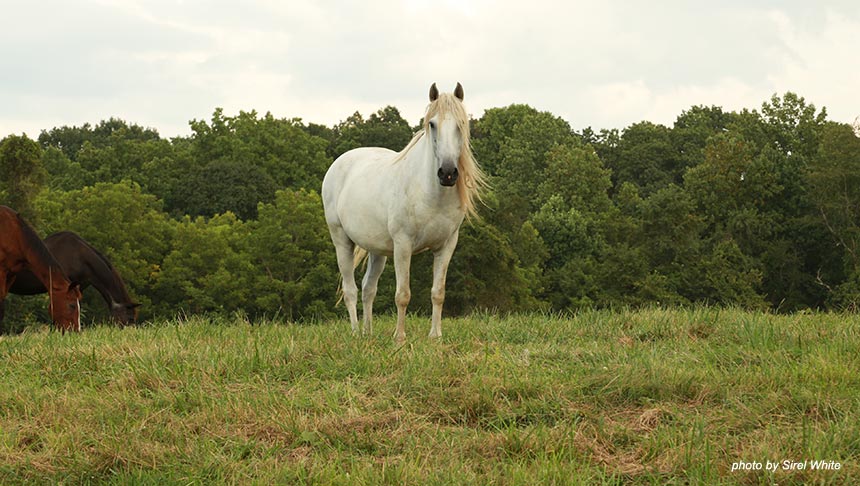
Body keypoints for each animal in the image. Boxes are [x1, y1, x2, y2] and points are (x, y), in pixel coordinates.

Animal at [322, 82, 485, 343]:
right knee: (350, 290)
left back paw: (368, 333)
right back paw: (356, 333)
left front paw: (435, 337)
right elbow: (403, 294)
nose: (448, 173)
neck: (430, 193)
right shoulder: (403, 245)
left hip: (377, 250)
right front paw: (400, 338)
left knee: (368, 288)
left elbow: (438, 292)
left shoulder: (447, 246)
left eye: (461, 124)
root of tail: (339, 163)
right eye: (432, 124)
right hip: (341, 241)